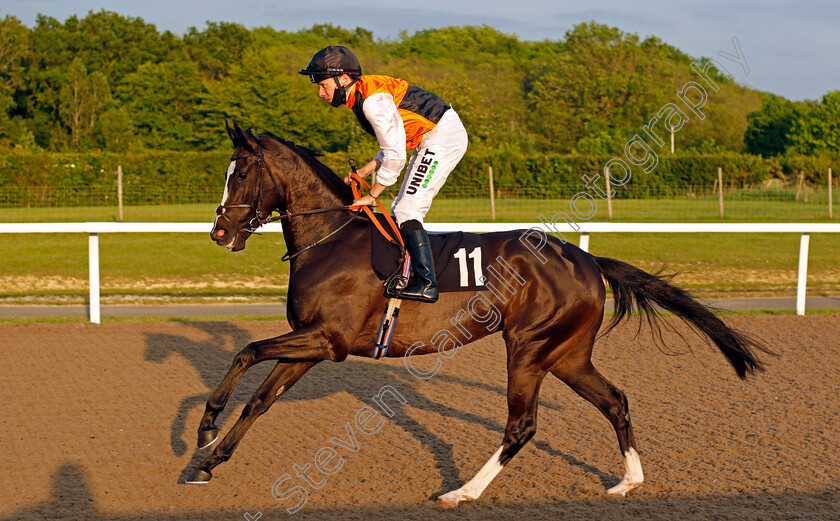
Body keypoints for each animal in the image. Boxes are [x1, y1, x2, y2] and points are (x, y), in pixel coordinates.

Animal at [187, 120, 772, 506]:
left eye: (241, 174)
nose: (219, 232)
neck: (332, 239)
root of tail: (587, 259)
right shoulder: (310, 342)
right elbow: (261, 399)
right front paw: (209, 460)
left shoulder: (327, 340)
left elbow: (246, 352)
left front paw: (205, 430)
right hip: (567, 354)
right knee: (615, 400)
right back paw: (628, 481)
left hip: (529, 347)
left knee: (522, 425)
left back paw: (462, 491)